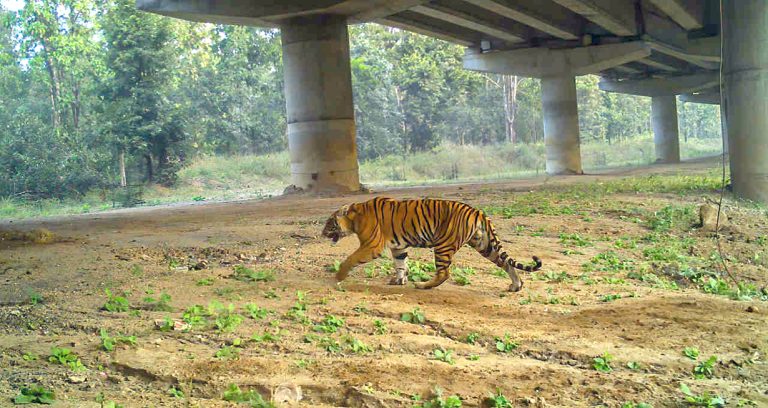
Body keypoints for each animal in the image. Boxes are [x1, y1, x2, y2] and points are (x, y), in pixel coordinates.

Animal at [320, 197, 544, 290]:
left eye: (328, 223)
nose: (321, 233)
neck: (354, 216)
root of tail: (478, 211)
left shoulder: (371, 246)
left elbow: (351, 258)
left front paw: (338, 276)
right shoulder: (399, 246)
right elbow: (401, 264)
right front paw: (399, 280)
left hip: (443, 245)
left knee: (444, 273)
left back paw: (423, 285)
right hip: (485, 245)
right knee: (506, 263)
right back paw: (516, 286)